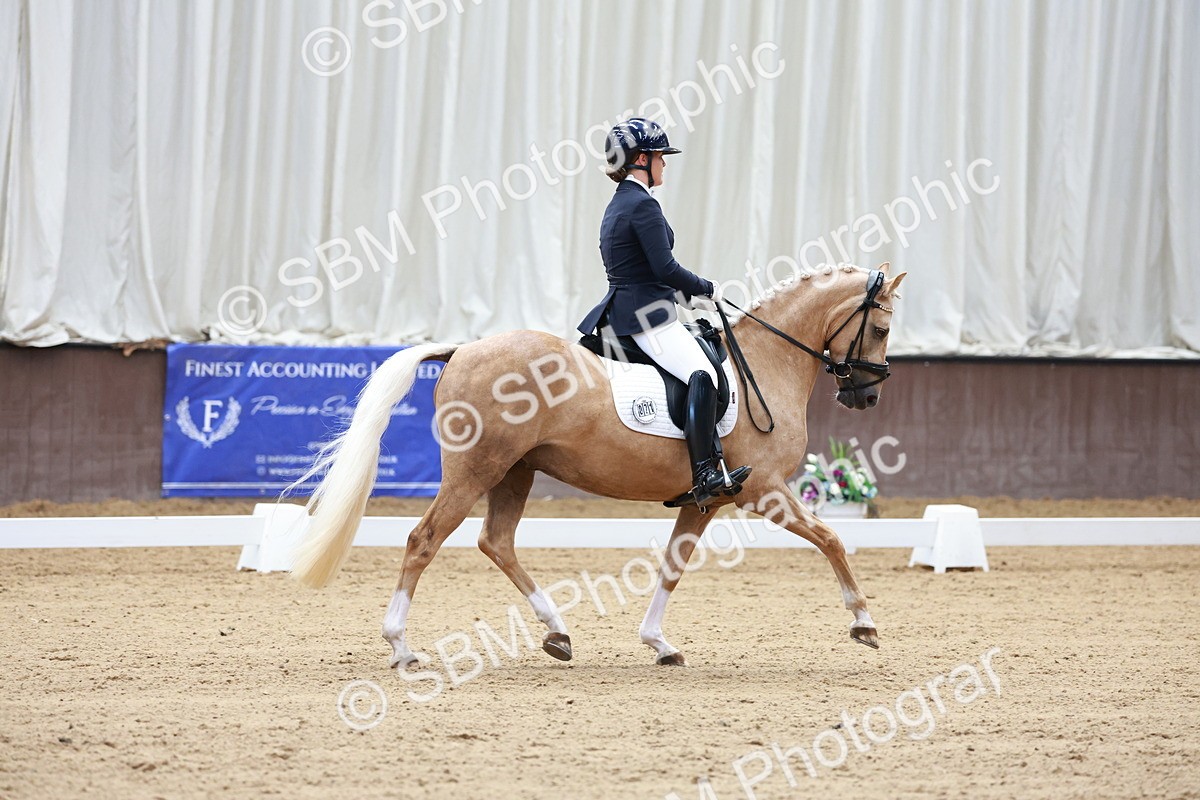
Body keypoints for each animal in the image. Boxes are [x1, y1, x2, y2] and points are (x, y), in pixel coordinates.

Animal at [289, 262, 906, 668]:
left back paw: (558, 634)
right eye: (880, 329)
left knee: (496, 541)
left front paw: (659, 643)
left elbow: (673, 565)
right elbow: (831, 539)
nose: (868, 397)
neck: (765, 360)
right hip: (475, 470)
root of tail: (462, 349)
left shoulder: (709, 497)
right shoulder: (767, 491)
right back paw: (400, 646)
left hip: (516, 470)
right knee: (424, 539)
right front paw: (864, 623)